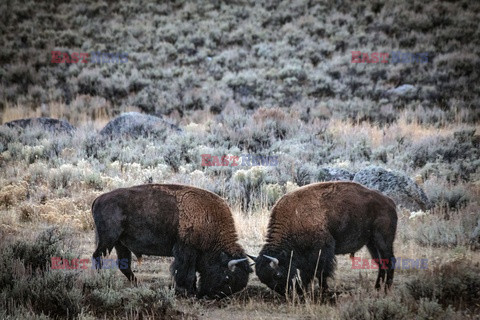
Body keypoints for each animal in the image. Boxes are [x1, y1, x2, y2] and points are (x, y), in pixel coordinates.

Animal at [91, 184, 253, 298]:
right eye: (227, 278)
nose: (215, 296)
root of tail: (98, 199)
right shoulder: (186, 251)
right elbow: (185, 272)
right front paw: (187, 291)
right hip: (108, 239)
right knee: (97, 256)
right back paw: (99, 279)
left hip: (120, 243)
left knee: (123, 265)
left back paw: (138, 284)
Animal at [255, 182, 398, 296]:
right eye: (263, 280)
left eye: (277, 275)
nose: (287, 293)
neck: (294, 219)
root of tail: (390, 202)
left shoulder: (322, 252)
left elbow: (321, 272)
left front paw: (323, 291)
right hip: (371, 244)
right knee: (381, 263)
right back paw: (377, 288)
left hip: (383, 241)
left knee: (390, 261)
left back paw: (386, 290)